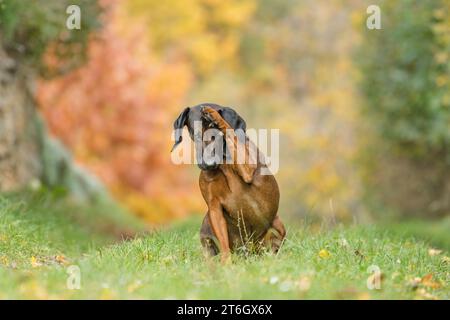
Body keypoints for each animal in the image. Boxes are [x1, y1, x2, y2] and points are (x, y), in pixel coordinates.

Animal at [171, 104, 286, 262]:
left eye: (216, 135)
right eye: (195, 134)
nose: (207, 164)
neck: (223, 165)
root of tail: (249, 251)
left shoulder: (247, 169)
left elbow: (230, 130)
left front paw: (213, 114)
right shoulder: (214, 207)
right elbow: (224, 243)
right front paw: (226, 263)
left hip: (277, 226)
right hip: (206, 225)